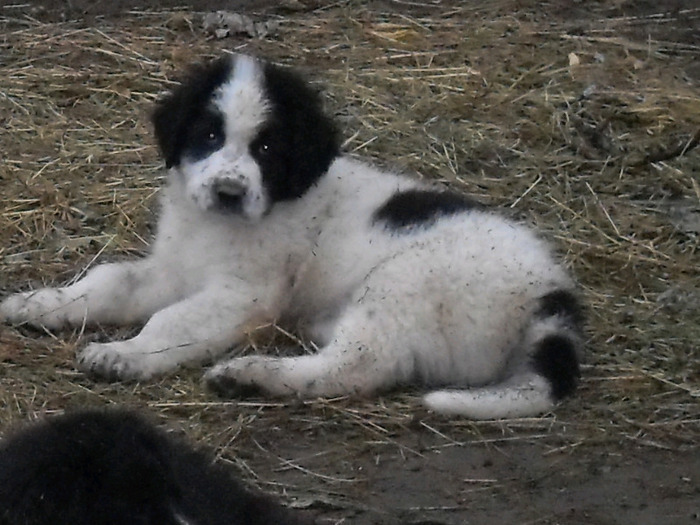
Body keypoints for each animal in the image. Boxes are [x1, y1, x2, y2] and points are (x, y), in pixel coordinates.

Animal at [0, 53, 584, 420]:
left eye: (266, 149)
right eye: (208, 134)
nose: (229, 192)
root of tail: (552, 293)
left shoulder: (244, 294)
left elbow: (173, 320)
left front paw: (125, 355)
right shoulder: (171, 269)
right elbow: (107, 281)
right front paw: (39, 304)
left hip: (405, 283)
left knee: (357, 365)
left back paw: (252, 375)